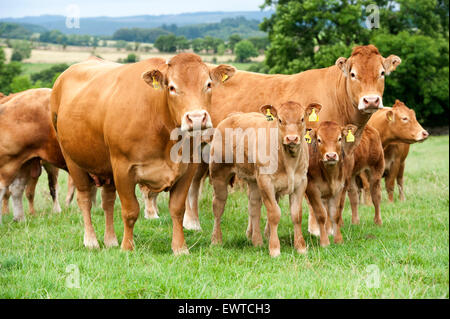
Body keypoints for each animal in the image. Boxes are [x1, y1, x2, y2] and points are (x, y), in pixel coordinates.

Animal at [51, 53, 236, 255]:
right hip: (73, 161)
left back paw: (110, 240)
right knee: (84, 199)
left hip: (107, 168)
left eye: (208, 84)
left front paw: (180, 248)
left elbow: (177, 209)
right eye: (172, 87)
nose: (196, 118)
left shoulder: (188, 170)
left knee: (108, 201)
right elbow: (130, 210)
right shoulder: (123, 168)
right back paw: (91, 241)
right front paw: (127, 247)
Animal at [209, 102, 318, 258]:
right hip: (219, 174)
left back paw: (257, 241)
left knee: (254, 207)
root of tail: (233, 116)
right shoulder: (266, 183)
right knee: (218, 206)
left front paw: (301, 247)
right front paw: (274, 249)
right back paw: (216, 240)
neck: (289, 162)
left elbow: (296, 215)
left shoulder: (300, 183)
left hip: (254, 181)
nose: (292, 138)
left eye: (302, 119)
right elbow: (274, 214)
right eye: (280, 120)